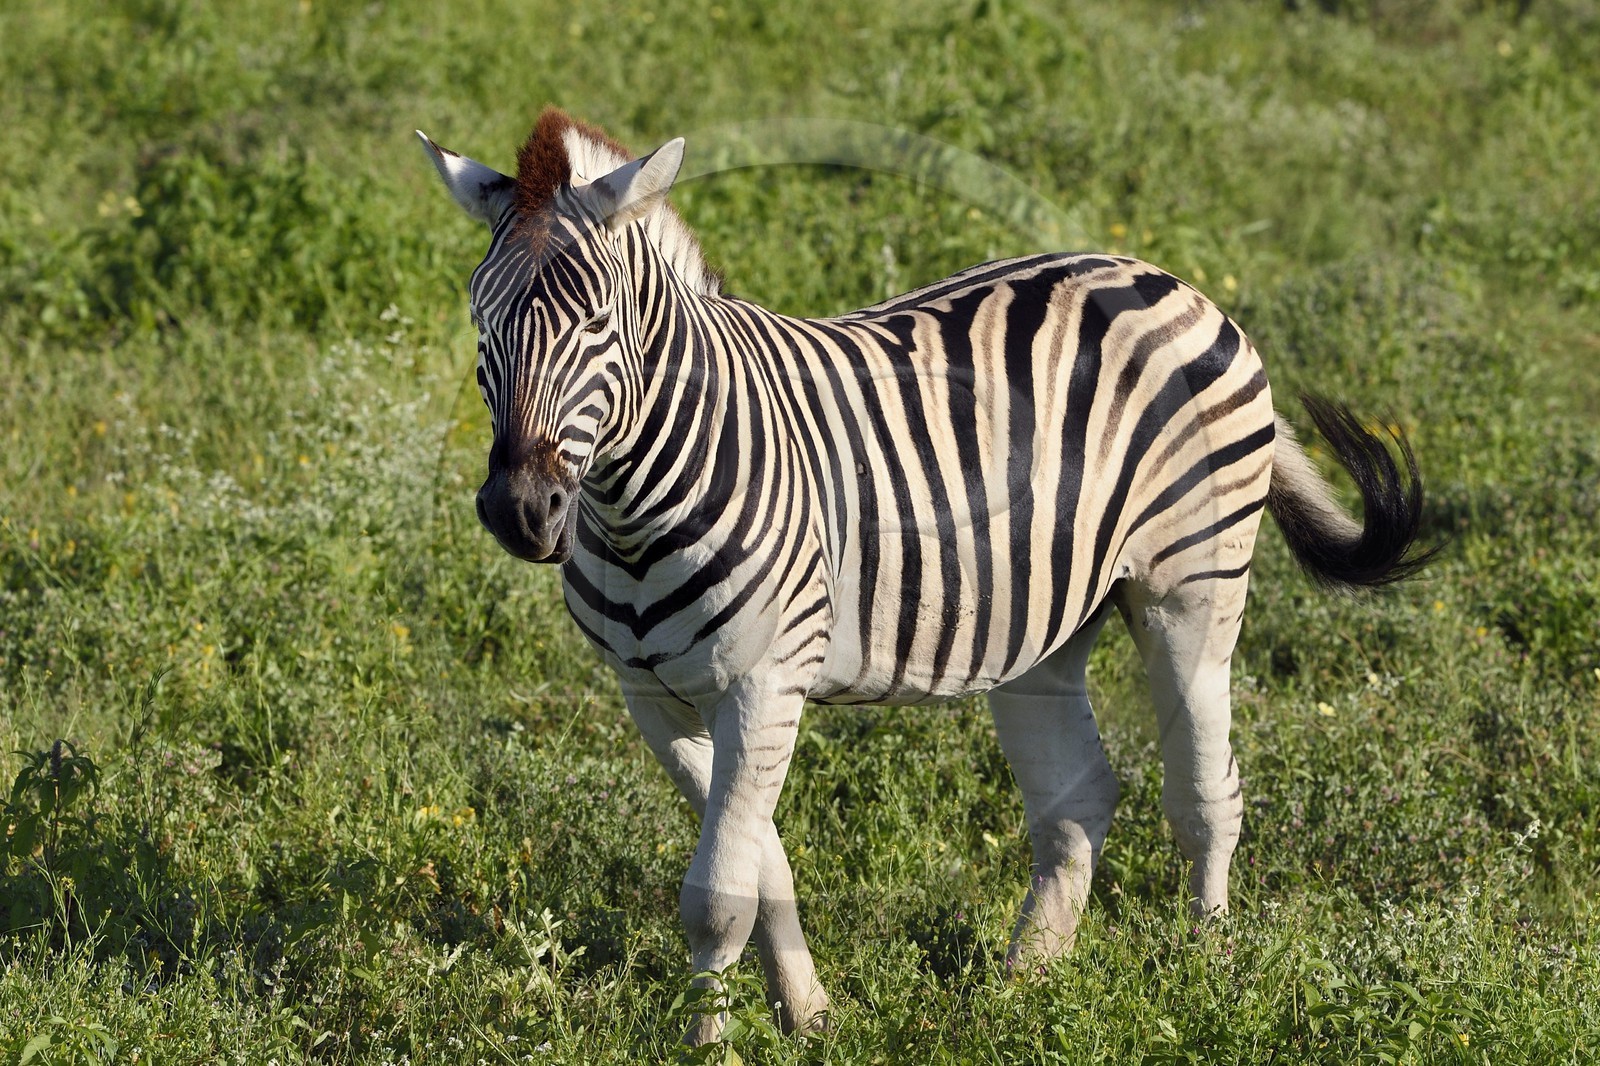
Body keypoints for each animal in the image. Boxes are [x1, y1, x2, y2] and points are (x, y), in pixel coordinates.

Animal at [417, 108, 1431, 1041]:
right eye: (479, 318)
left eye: (596, 323)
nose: (522, 510)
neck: (633, 509)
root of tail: (1166, 279)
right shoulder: (656, 700)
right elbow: (762, 866)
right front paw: (809, 1015)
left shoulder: (764, 682)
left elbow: (716, 894)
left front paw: (706, 1044)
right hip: (1045, 622)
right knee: (1077, 798)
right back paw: (1021, 988)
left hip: (1192, 585)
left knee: (1205, 794)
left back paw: (1206, 975)